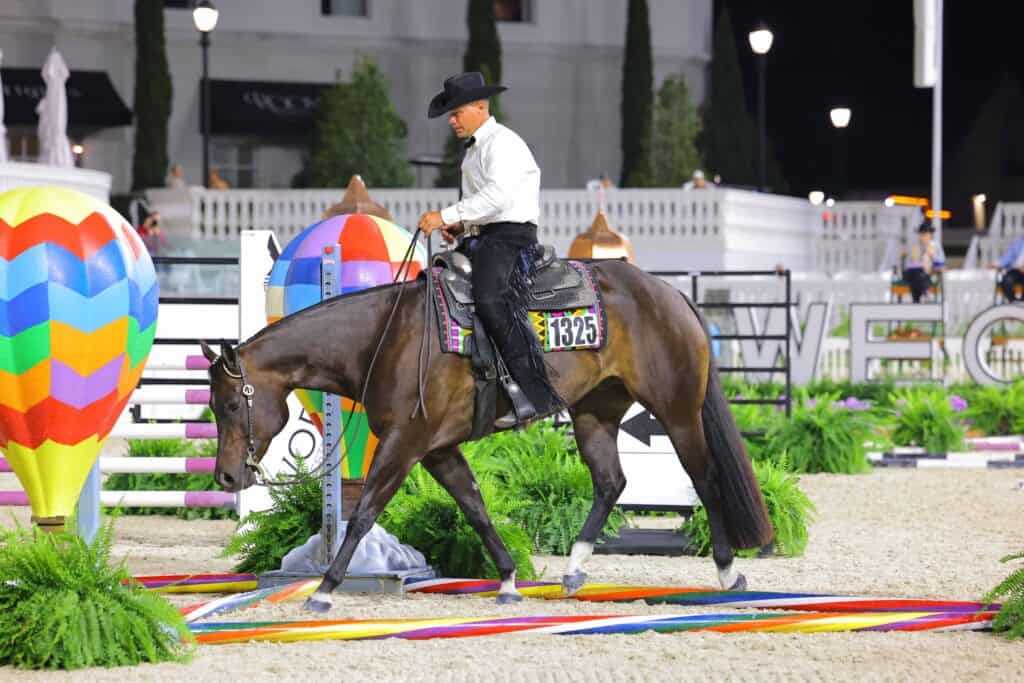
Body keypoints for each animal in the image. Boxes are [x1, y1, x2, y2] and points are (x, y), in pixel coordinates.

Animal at [200, 258, 773, 614]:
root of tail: (670, 292)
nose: (226, 476)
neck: (386, 337)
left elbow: (363, 514)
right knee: (611, 482)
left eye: (228, 404)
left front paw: (324, 589)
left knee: (706, 479)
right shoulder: (437, 450)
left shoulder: (405, 446)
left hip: (677, 412)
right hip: (595, 413)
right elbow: (475, 509)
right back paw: (574, 569)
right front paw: (508, 580)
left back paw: (728, 574)